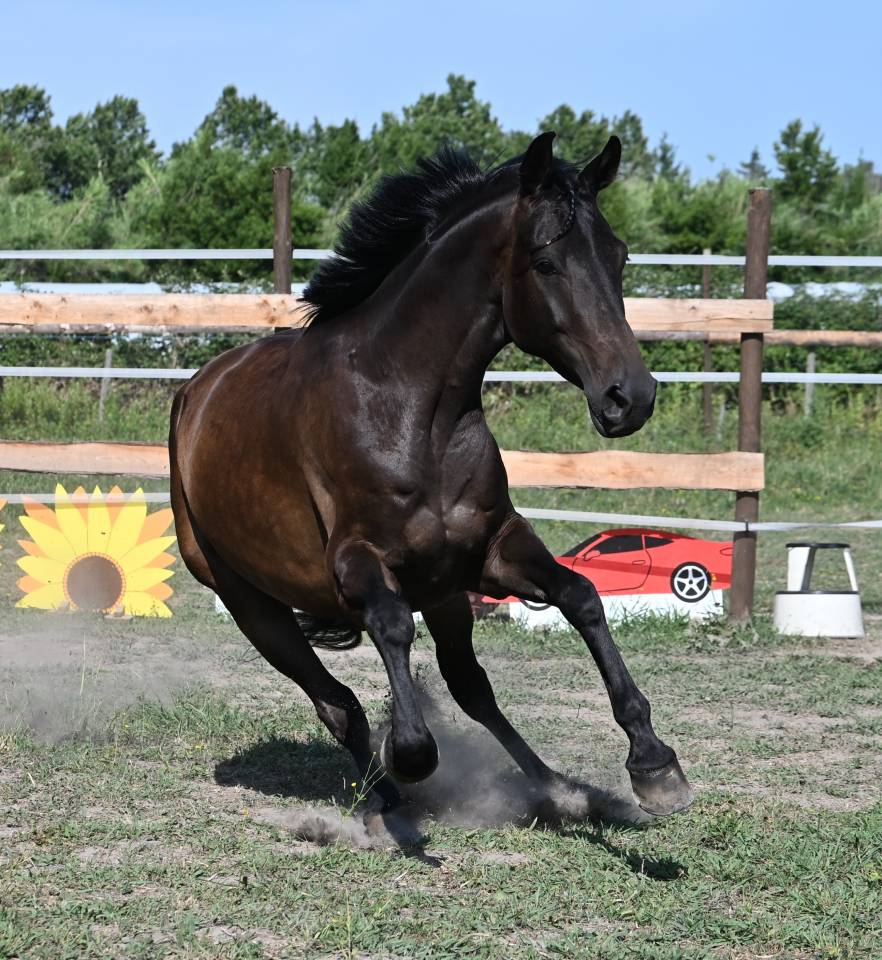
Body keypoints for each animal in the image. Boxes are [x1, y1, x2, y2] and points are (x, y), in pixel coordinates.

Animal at [169, 132, 694, 820]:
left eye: (619, 257)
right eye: (545, 263)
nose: (629, 397)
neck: (417, 413)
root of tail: (195, 392)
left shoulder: (488, 551)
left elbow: (580, 595)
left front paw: (653, 762)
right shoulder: (358, 564)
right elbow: (392, 628)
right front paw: (413, 752)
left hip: (442, 593)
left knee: (470, 687)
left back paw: (553, 788)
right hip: (250, 603)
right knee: (336, 703)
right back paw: (384, 798)